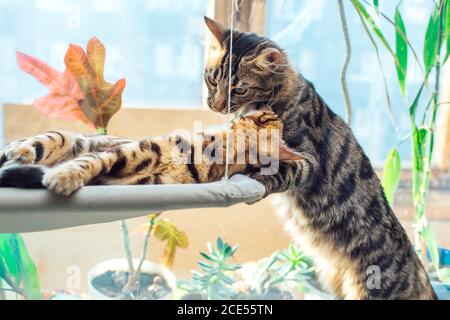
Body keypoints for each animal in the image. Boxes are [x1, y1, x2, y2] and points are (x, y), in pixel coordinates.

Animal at [0, 109, 302, 195]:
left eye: (263, 117)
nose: (243, 111)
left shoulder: (143, 175)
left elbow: (92, 166)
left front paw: (60, 178)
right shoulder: (133, 150)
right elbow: (89, 161)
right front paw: (63, 177)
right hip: (62, 137)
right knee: (24, 148)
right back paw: (19, 153)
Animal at [203, 16, 436, 298]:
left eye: (239, 90)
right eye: (212, 80)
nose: (215, 105)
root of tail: (419, 269)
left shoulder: (307, 160)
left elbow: (278, 171)